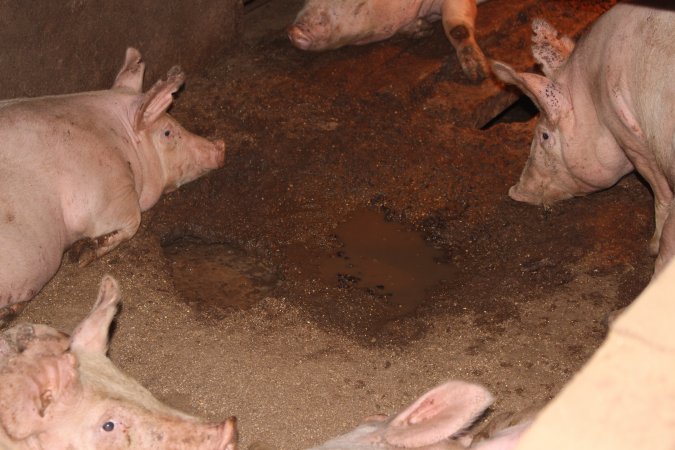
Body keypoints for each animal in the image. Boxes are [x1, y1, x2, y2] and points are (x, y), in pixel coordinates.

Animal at [492, 3, 675, 274]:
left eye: (544, 135)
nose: (515, 192)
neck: (592, 93)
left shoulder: (626, 130)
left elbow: (659, 189)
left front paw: (651, 248)